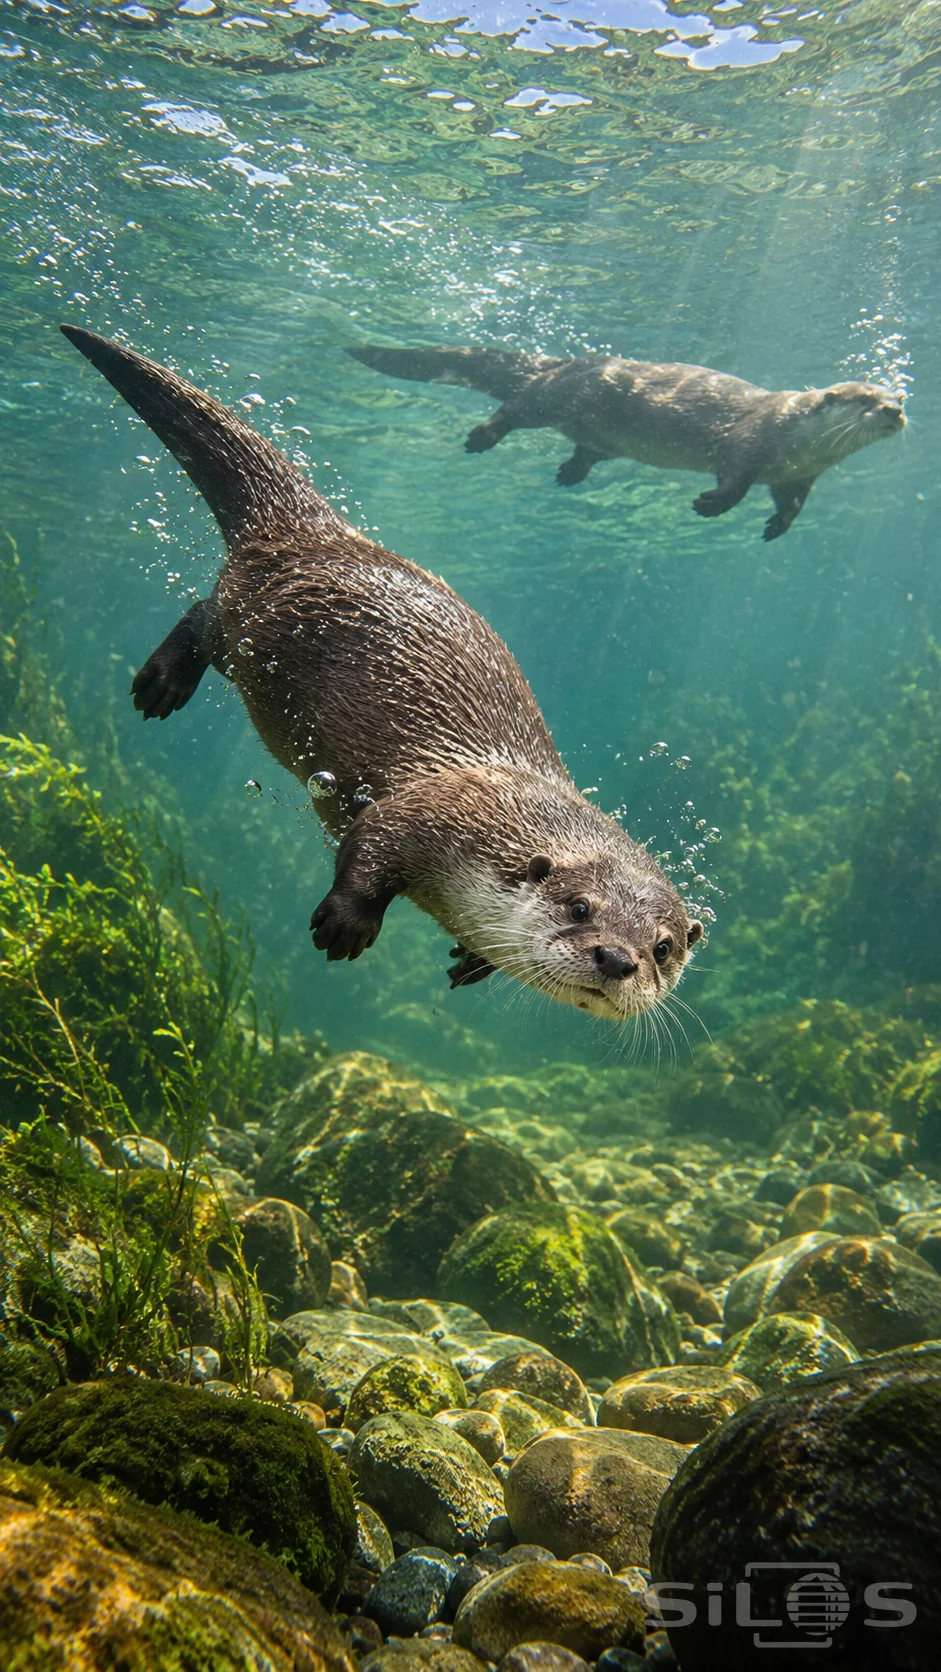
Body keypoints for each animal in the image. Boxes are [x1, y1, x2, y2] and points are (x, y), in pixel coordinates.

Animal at [61, 325, 703, 1021]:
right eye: (580, 907)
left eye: (663, 948)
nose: (616, 958)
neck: (510, 821)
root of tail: (323, 531)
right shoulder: (428, 810)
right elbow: (371, 842)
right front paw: (346, 924)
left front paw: (472, 962)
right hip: (259, 631)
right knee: (204, 613)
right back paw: (163, 684)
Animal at [348, 345, 905, 542]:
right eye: (864, 399)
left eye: (898, 395)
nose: (895, 411)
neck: (795, 438)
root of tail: (562, 362)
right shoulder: (750, 441)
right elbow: (735, 480)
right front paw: (709, 504)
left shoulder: (799, 475)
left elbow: (790, 505)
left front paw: (776, 526)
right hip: (558, 398)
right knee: (517, 408)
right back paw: (482, 437)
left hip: (592, 429)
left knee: (584, 449)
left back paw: (570, 473)